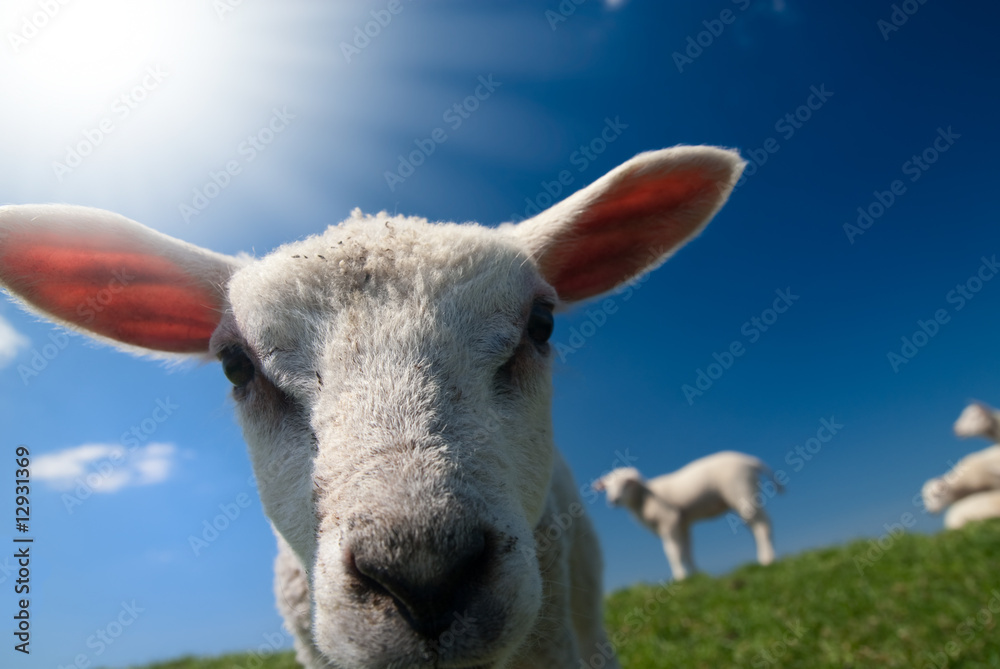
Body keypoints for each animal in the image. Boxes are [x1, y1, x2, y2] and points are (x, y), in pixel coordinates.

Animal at [593, 451, 780, 581]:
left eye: (627, 483)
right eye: (607, 486)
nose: (613, 500)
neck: (644, 497)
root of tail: (749, 460)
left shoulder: (669, 520)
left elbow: (672, 551)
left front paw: (680, 578)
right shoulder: (682, 523)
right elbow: (687, 551)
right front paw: (696, 575)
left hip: (742, 492)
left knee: (763, 524)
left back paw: (768, 559)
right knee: (755, 525)